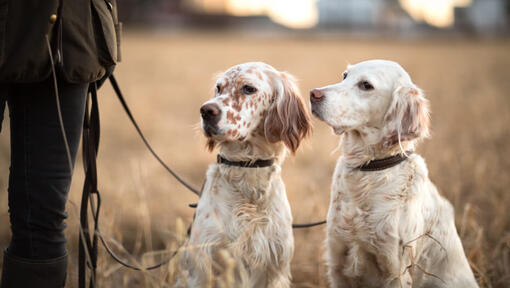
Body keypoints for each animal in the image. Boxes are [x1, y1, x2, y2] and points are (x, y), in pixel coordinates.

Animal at [308, 59, 480, 288]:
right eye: (345, 75)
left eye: (366, 85)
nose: (313, 94)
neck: (369, 170)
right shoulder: (338, 262)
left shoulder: (395, 270)